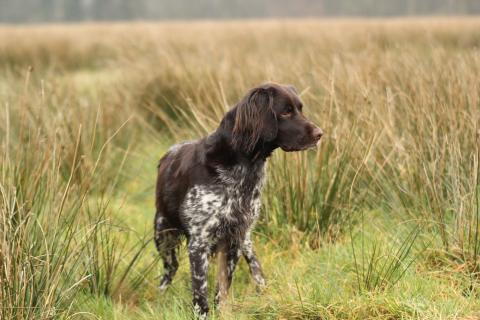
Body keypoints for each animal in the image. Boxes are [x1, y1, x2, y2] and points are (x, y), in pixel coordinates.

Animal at [156, 82, 324, 316]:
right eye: (285, 111)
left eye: (300, 108)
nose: (320, 134)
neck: (244, 168)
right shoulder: (199, 243)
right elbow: (200, 294)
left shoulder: (235, 238)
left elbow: (222, 289)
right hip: (164, 237)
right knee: (167, 274)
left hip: (246, 240)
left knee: (255, 267)